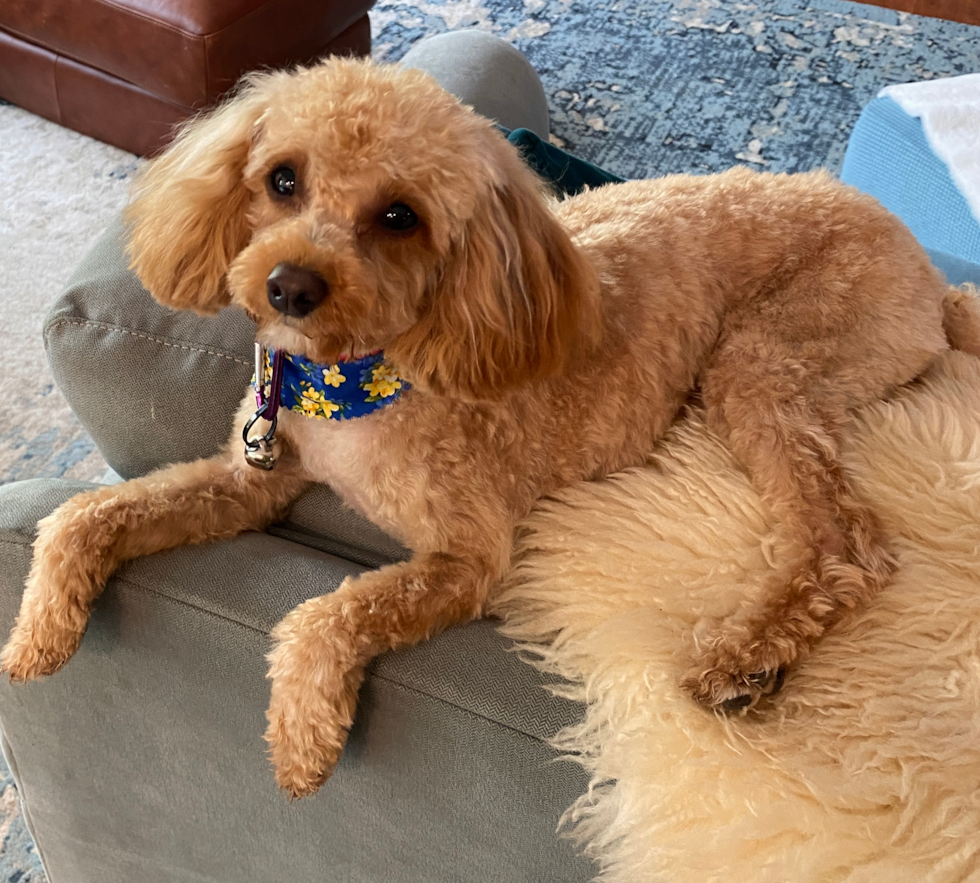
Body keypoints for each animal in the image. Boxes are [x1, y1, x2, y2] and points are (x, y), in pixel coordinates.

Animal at [3, 57, 976, 800]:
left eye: (400, 216)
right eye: (282, 178)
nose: (288, 287)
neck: (351, 379)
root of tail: (935, 282)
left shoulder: (466, 558)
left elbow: (329, 612)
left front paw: (301, 735)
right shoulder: (252, 480)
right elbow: (89, 513)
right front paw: (39, 628)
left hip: (767, 358)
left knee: (846, 542)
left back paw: (744, 656)